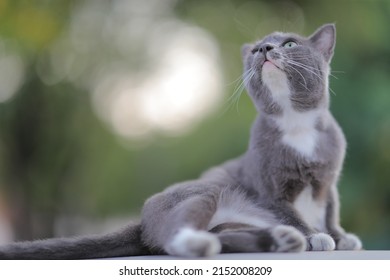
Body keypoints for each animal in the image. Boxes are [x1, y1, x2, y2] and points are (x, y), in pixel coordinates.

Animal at [0, 23, 362, 260]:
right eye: (255, 50)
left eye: (289, 44)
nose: (263, 49)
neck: (296, 124)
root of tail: (144, 221)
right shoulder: (269, 189)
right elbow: (292, 213)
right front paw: (317, 236)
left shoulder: (329, 181)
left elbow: (331, 210)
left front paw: (340, 237)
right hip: (204, 193)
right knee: (179, 235)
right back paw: (209, 244)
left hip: (226, 219)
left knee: (225, 235)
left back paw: (280, 240)